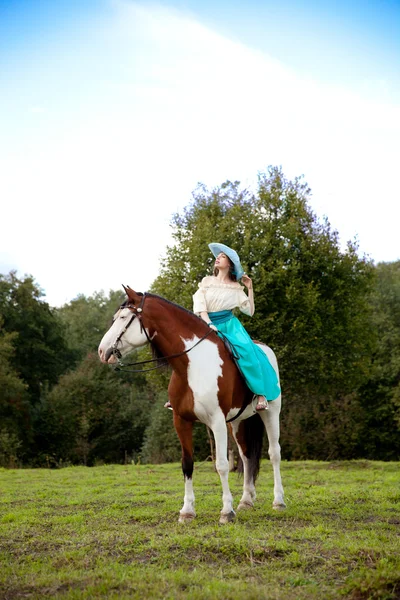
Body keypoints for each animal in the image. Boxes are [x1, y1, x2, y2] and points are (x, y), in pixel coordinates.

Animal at [97, 288, 286, 524]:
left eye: (123, 318)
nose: (102, 352)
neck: (192, 364)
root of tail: (265, 348)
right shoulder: (181, 421)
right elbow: (187, 464)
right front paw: (187, 511)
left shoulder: (217, 422)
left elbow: (221, 465)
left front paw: (226, 511)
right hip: (238, 421)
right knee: (246, 455)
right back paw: (246, 500)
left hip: (271, 412)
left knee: (274, 453)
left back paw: (278, 501)